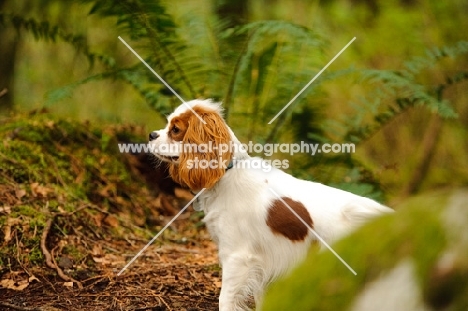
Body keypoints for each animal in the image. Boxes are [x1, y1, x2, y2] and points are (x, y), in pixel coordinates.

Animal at [149, 99, 392, 310]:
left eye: (175, 129)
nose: (151, 134)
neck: (228, 173)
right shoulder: (264, 264)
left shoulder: (237, 257)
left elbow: (225, 300)